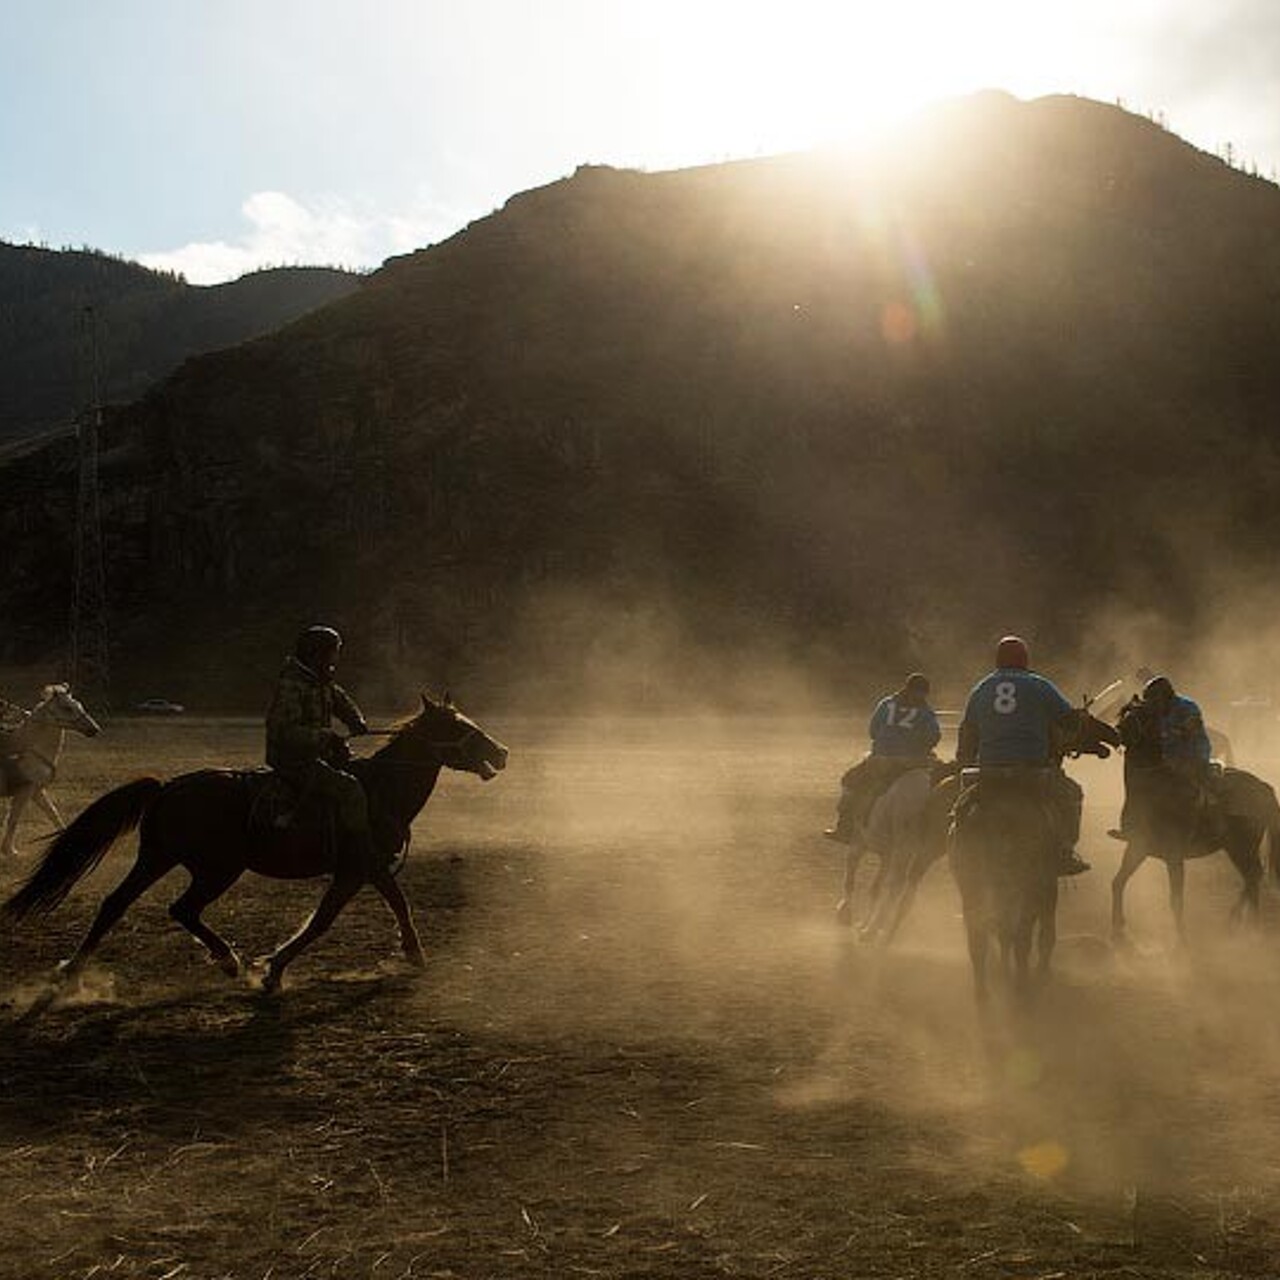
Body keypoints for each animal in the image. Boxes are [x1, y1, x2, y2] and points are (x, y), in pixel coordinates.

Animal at [0, 686, 103, 855]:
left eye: (78, 705)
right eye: (67, 708)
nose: (94, 729)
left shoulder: (36, 791)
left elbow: (53, 813)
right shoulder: (25, 790)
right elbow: (14, 818)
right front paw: (10, 851)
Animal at [952, 706, 1121, 1003]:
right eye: (1084, 719)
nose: (1113, 734)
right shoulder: (1048, 883)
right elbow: (1045, 934)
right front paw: (1041, 974)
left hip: (972, 883)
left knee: (981, 936)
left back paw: (985, 995)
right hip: (1024, 882)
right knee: (1019, 934)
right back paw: (1023, 989)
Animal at [1111, 696, 1280, 947]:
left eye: (1142, 716)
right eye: (1124, 713)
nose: (1117, 731)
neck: (1153, 790)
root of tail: (1263, 786)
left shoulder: (1174, 856)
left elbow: (1176, 898)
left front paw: (1181, 940)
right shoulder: (1137, 847)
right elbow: (1118, 882)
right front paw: (1117, 928)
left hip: (1242, 846)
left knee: (1253, 876)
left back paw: (1251, 927)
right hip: (1235, 848)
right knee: (1252, 878)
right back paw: (1237, 921)